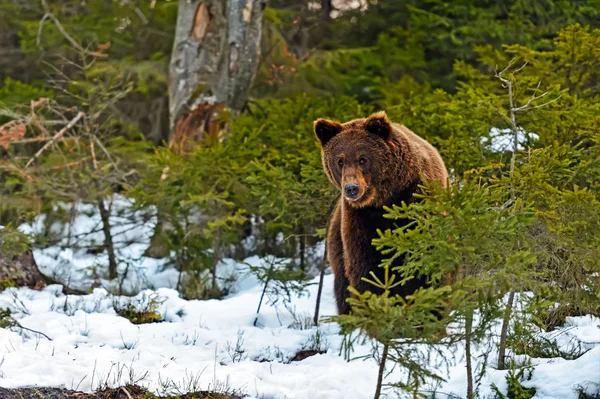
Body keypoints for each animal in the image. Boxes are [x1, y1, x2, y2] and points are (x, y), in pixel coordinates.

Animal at [316, 110, 448, 316]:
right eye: (340, 161)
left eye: (362, 158)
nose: (351, 188)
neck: (386, 202)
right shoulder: (360, 219)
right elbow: (366, 270)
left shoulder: (418, 202)